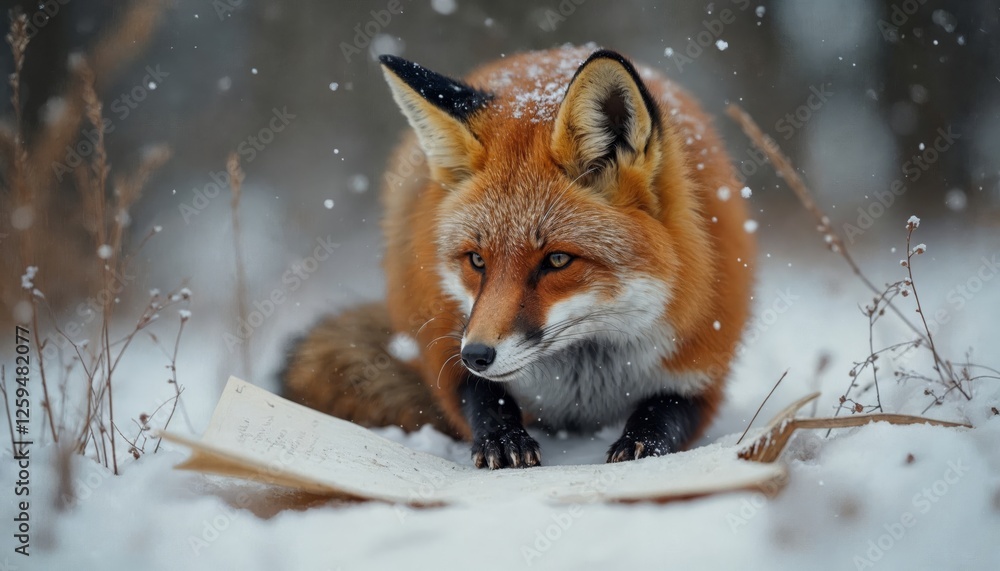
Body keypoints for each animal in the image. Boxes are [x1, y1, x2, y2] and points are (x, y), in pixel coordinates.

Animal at [281, 45, 755, 469]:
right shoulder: (446, 338)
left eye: (557, 261)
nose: (476, 355)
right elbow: (481, 397)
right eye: (476, 260)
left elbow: (666, 413)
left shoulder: (701, 363)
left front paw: (641, 443)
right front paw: (503, 438)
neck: (587, 377)